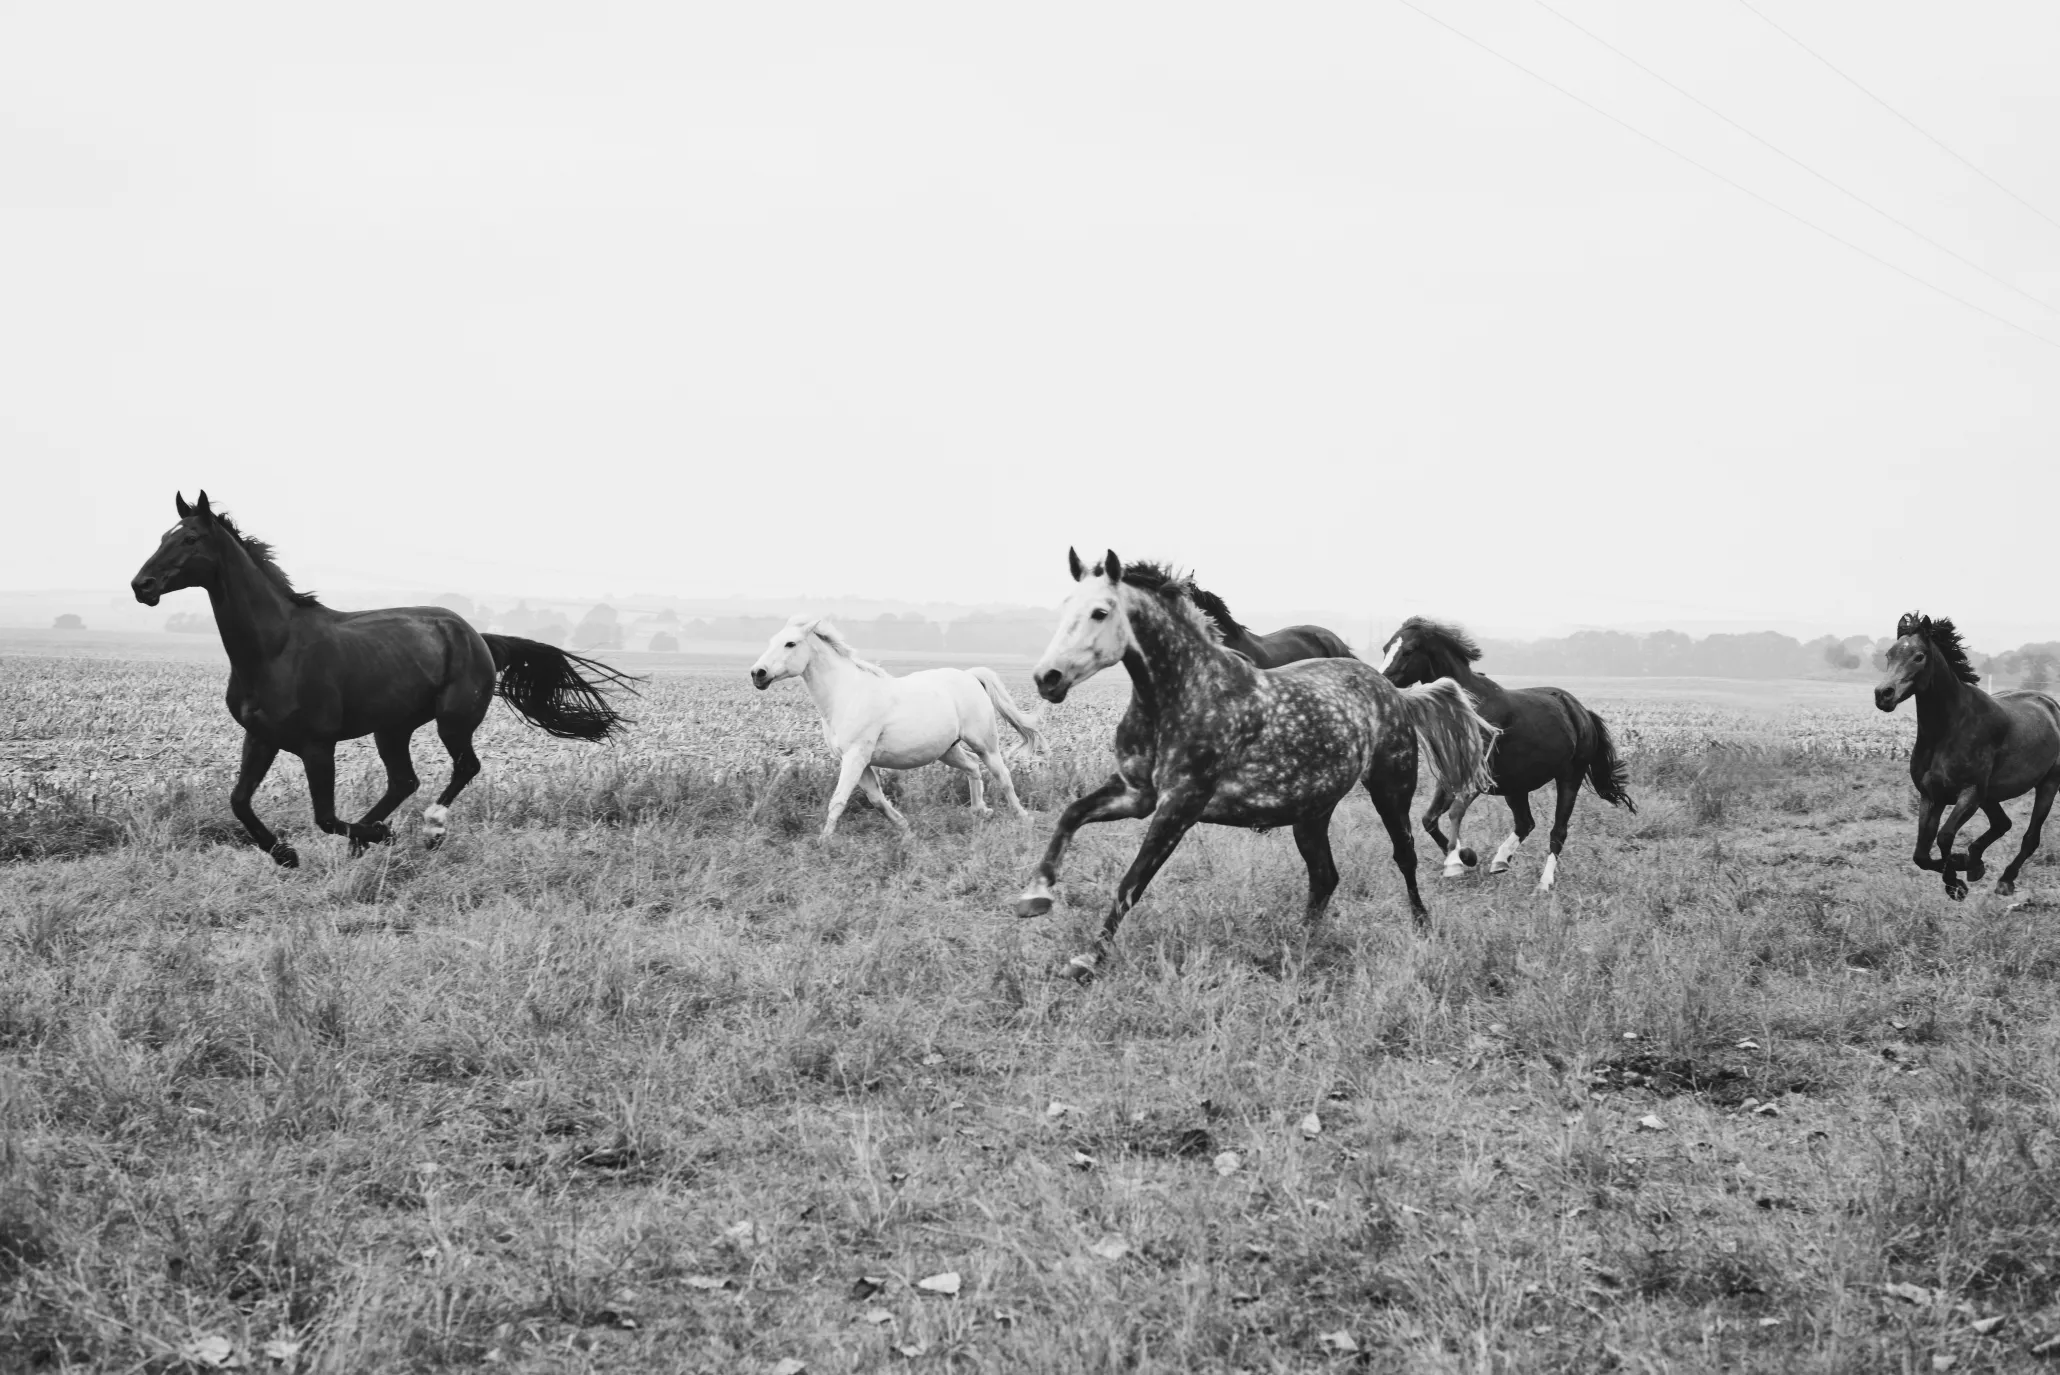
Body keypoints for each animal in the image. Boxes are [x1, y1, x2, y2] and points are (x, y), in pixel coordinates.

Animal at [130, 492, 636, 865]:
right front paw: (286, 854)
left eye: (191, 538)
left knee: (464, 768)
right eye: (163, 535)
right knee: (404, 780)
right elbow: (239, 801)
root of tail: (478, 636)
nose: (142, 586)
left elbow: (325, 817)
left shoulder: (317, 745)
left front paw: (374, 835)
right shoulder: (260, 737)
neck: (275, 649)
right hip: (391, 728)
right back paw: (373, 833)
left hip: (452, 721)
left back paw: (427, 830)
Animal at [749, 615, 1043, 839]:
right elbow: (877, 800)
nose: (757, 673)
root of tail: (970, 676)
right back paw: (980, 810)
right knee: (972, 767)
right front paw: (906, 831)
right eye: (772, 641)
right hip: (947, 750)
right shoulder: (859, 761)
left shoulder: (856, 757)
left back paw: (1022, 817)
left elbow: (838, 800)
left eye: (790, 643)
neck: (846, 694)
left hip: (984, 744)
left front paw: (824, 842)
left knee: (1002, 775)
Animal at [1378, 617, 1634, 894]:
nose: (1381, 684)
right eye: (1385, 648)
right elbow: (1429, 819)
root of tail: (1582, 712)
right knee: (1525, 823)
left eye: (1409, 650)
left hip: (1569, 778)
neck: (1470, 709)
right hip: (1516, 787)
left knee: (1558, 831)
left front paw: (1457, 862)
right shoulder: (1451, 777)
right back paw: (1500, 861)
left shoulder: (1477, 778)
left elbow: (1455, 813)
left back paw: (1543, 884)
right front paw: (1466, 857)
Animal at [1877, 611, 2060, 900]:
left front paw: (1958, 877)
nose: (1883, 694)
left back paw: (2005, 880)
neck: (1948, 730)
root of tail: (2049, 703)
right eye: (1889, 654)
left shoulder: (1969, 793)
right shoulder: (1932, 795)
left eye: (1919, 656)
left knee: (2030, 837)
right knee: (2002, 824)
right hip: (1991, 795)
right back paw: (1975, 863)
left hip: (2048, 784)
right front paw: (1963, 873)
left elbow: (1944, 837)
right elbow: (1921, 854)